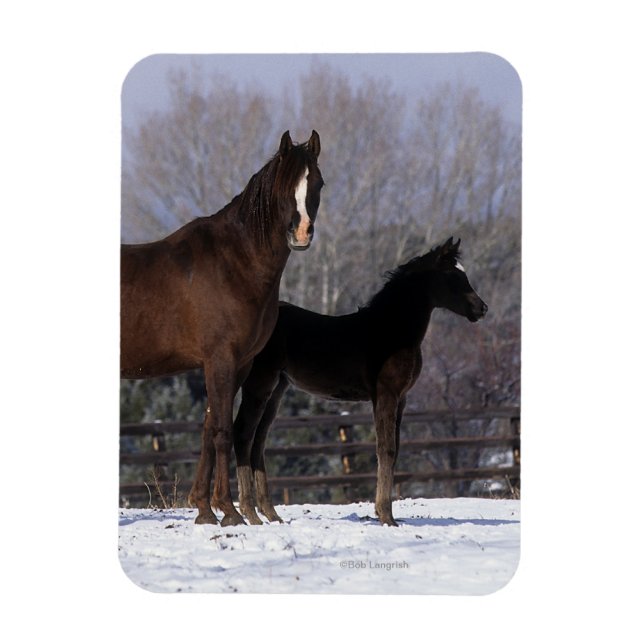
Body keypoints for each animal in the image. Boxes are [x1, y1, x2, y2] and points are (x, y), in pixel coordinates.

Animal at [121, 130, 323, 526]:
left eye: (318, 183)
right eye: (283, 186)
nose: (302, 233)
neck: (234, 262)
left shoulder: (239, 363)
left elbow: (208, 429)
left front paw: (203, 509)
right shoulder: (220, 359)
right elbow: (222, 432)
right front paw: (228, 511)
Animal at [231, 237, 487, 526]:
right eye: (453, 276)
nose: (481, 308)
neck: (392, 331)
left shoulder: (401, 399)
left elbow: (395, 450)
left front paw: (384, 513)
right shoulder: (385, 394)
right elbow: (386, 449)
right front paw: (386, 516)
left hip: (277, 389)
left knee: (259, 442)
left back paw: (271, 514)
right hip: (259, 382)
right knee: (243, 433)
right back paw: (250, 513)